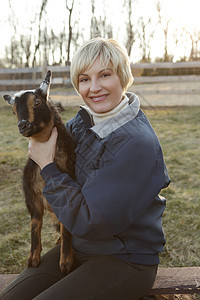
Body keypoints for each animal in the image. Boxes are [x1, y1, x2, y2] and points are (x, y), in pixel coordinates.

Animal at [3, 71, 76, 274]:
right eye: (13, 111)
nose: (23, 126)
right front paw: (33, 260)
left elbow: (67, 227)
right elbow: (35, 223)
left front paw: (65, 263)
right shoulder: (32, 196)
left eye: (36, 102)